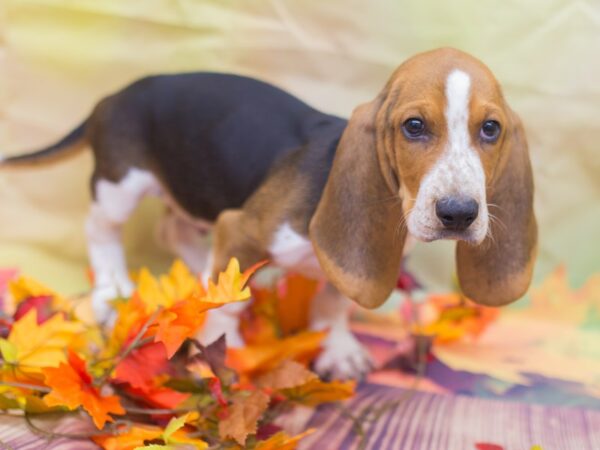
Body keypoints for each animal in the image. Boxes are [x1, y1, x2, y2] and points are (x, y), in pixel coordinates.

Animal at [0, 48, 536, 380]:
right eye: (414, 126)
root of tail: (111, 98)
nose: (459, 213)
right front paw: (223, 348)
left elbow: (333, 301)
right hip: (121, 185)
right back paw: (113, 291)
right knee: (101, 229)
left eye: (491, 129)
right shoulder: (241, 228)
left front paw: (337, 349)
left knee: (174, 230)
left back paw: (196, 276)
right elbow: (228, 303)